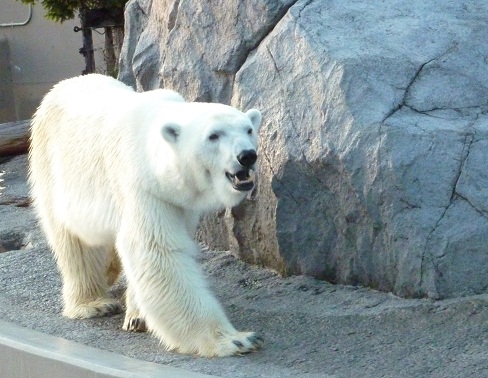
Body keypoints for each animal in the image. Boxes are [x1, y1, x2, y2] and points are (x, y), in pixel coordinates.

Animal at [28, 74, 264, 358]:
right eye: (213, 136)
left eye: (248, 129)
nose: (247, 156)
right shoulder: (142, 186)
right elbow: (157, 253)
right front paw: (236, 340)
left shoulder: (178, 203)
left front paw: (137, 315)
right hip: (53, 169)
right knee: (75, 242)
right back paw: (93, 303)